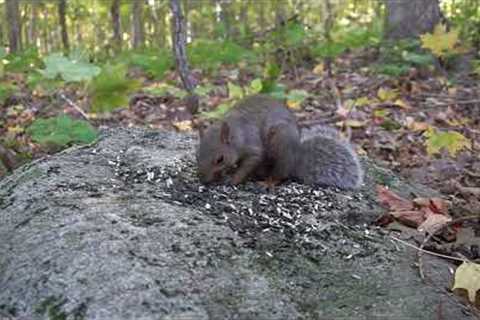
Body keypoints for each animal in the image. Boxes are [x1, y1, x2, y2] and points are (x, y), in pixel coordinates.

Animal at [197, 94, 362, 189]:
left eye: (220, 159)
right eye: (197, 154)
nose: (203, 180)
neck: (237, 134)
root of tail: (297, 158)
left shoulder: (252, 145)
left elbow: (251, 162)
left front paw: (233, 179)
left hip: (280, 143)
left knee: (281, 173)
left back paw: (268, 182)